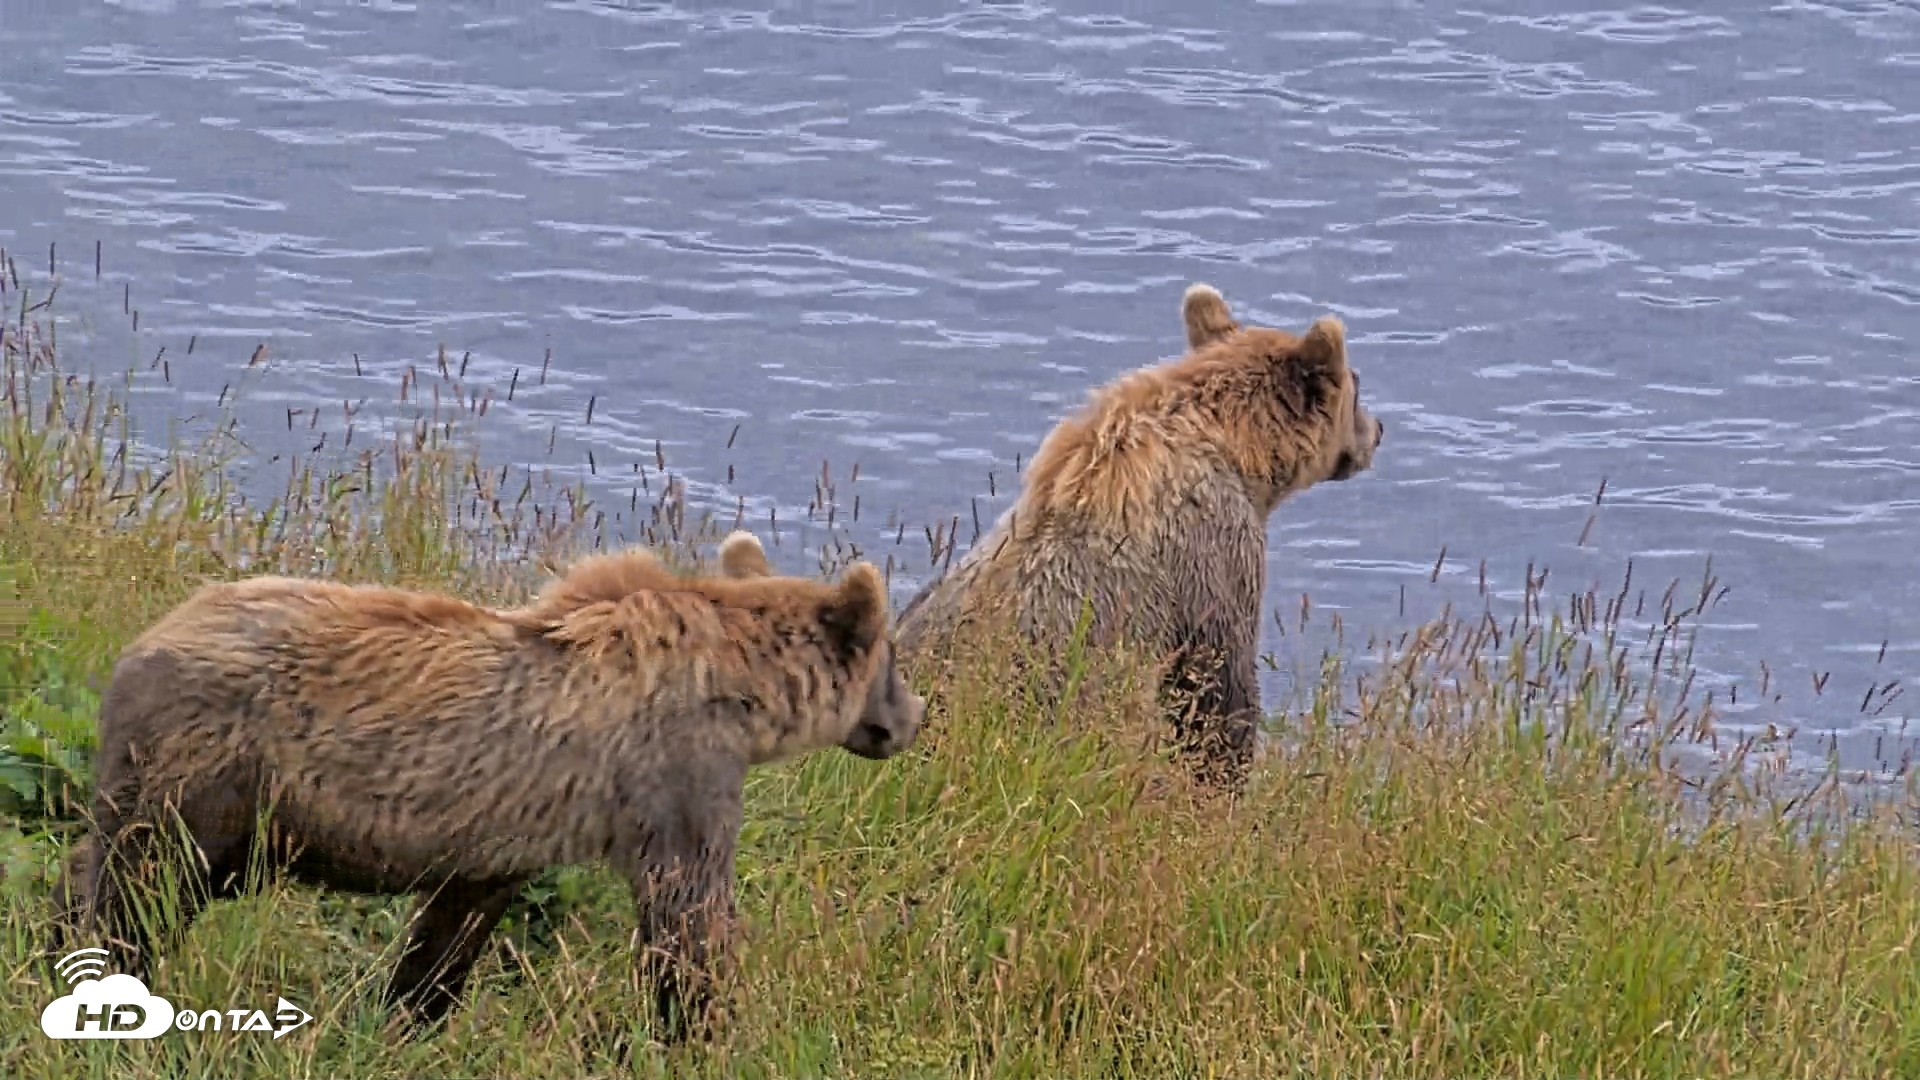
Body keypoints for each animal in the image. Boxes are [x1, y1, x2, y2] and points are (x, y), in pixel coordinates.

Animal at [50, 529, 924, 1042]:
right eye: (894, 658)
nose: (911, 718)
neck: (739, 690)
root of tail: (141, 646)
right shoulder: (678, 777)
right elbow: (688, 914)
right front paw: (701, 1028)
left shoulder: (507, 828)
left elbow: (459, 921)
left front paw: (409, 1015)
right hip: (215, 772)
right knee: (145, 885)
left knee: (108, 863)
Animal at [892, 282, 1384, 791]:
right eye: (1356, 384)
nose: (1379, 430)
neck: (1237, 452)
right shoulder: (1210, 545)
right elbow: (1217, 678)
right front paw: (1223, 772)